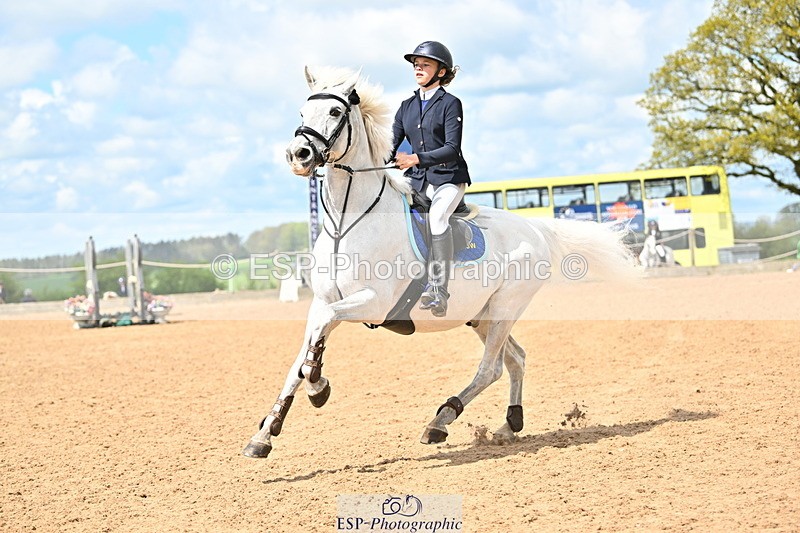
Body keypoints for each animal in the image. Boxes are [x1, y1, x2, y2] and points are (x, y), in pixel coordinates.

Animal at [242, 66, 638, 458]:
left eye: (335, 111)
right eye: (302, 113)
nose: (298, 154)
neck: (347, 222)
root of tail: (535, 227)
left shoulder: (373, 303)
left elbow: (317, 341)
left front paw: (318, 387)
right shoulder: (324, 302)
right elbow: (300, 359)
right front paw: (266, 433)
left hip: (506, 308)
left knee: (490, 368)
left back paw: (440, 422)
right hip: (482, 315)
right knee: (515, 359)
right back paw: (509, 424)